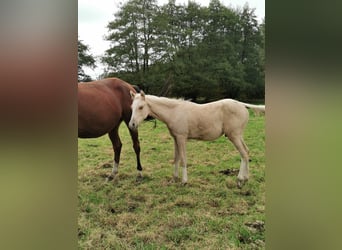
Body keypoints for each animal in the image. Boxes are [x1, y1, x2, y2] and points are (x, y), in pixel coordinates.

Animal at [128, 91, 264, 187]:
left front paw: (184, 181)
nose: (132, 125)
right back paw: (245, 179)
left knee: (243, 153)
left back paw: (240, 180)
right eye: (131, 107)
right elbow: (176, 159)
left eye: (141, 107)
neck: (174, 112)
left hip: (234, 135)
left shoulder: (182, 138)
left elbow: (183, 160)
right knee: (246, 152)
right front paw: (174, 179)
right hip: (238, 135)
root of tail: (242, 104)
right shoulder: (176, 138)